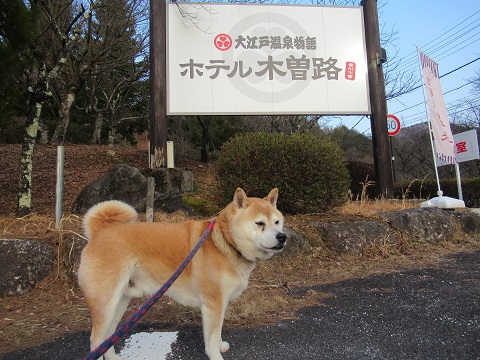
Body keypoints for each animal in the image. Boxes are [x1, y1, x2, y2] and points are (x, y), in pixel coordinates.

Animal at [76, 188, 284, 360]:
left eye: (277, 222)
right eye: (259, 223)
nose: (282, 237)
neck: (224, 242)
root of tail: (101, 230)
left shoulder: (221, 303)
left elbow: (217, 334)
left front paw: (220, 345)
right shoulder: (213, 304)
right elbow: (211, 340)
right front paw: (216, 355)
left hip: (119, 301)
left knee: (107, 339)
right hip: (106, 303)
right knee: (96, 340)